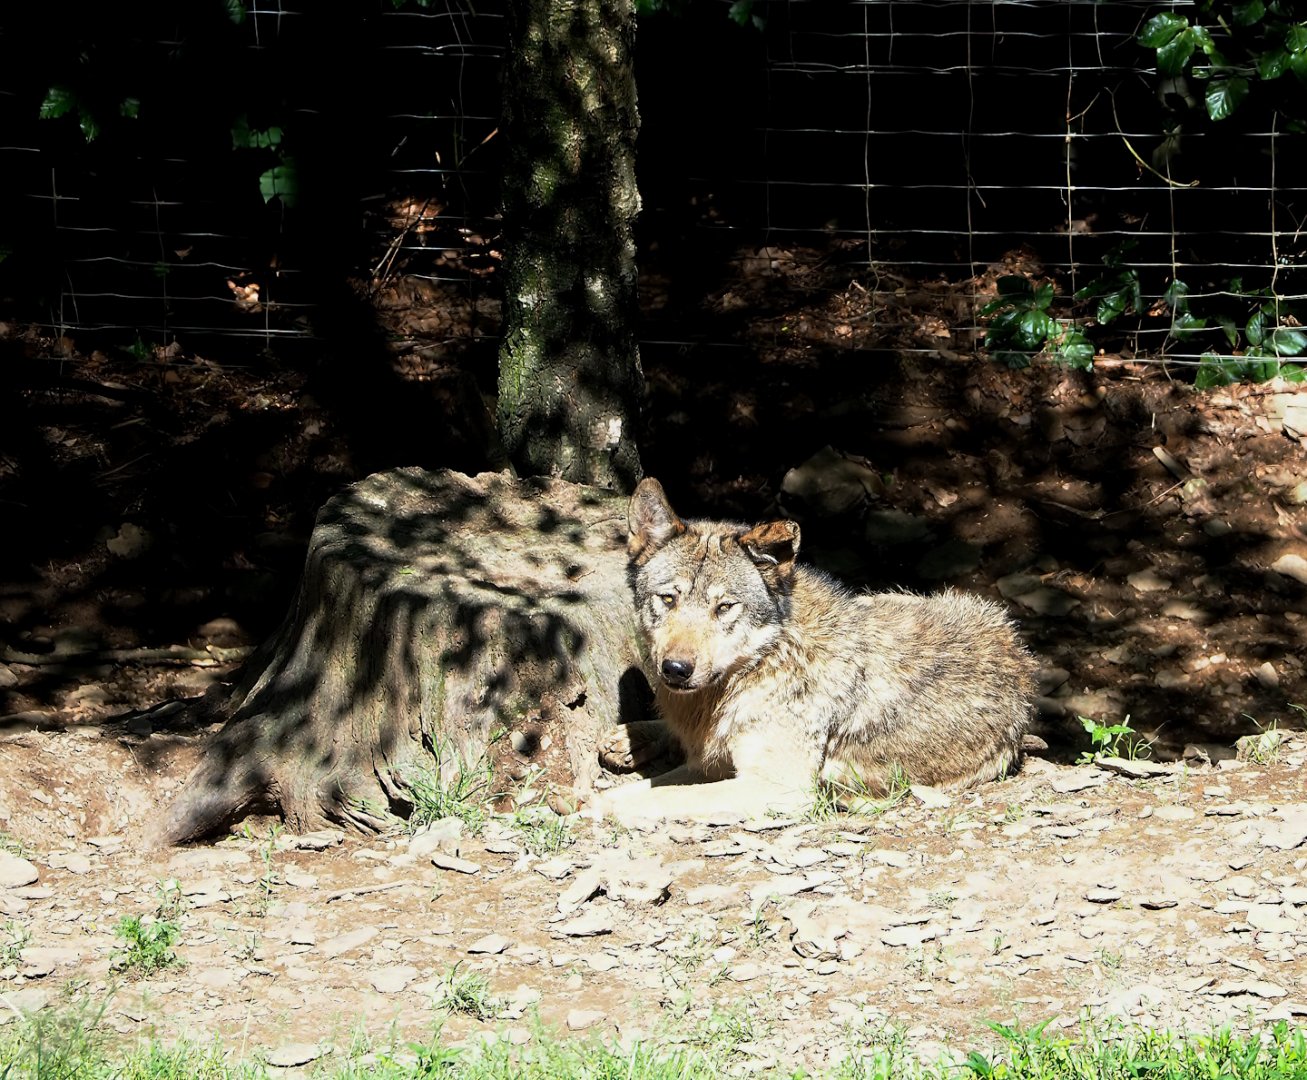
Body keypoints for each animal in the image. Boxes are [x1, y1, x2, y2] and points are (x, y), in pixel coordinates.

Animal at [592, 478, 1036, 823]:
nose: (676, 669)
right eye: (668, 599)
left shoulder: (775, 787)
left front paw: (598, 806)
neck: (763, 662)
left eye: (725, 607)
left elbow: (659, 794)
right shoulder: (714, 760)